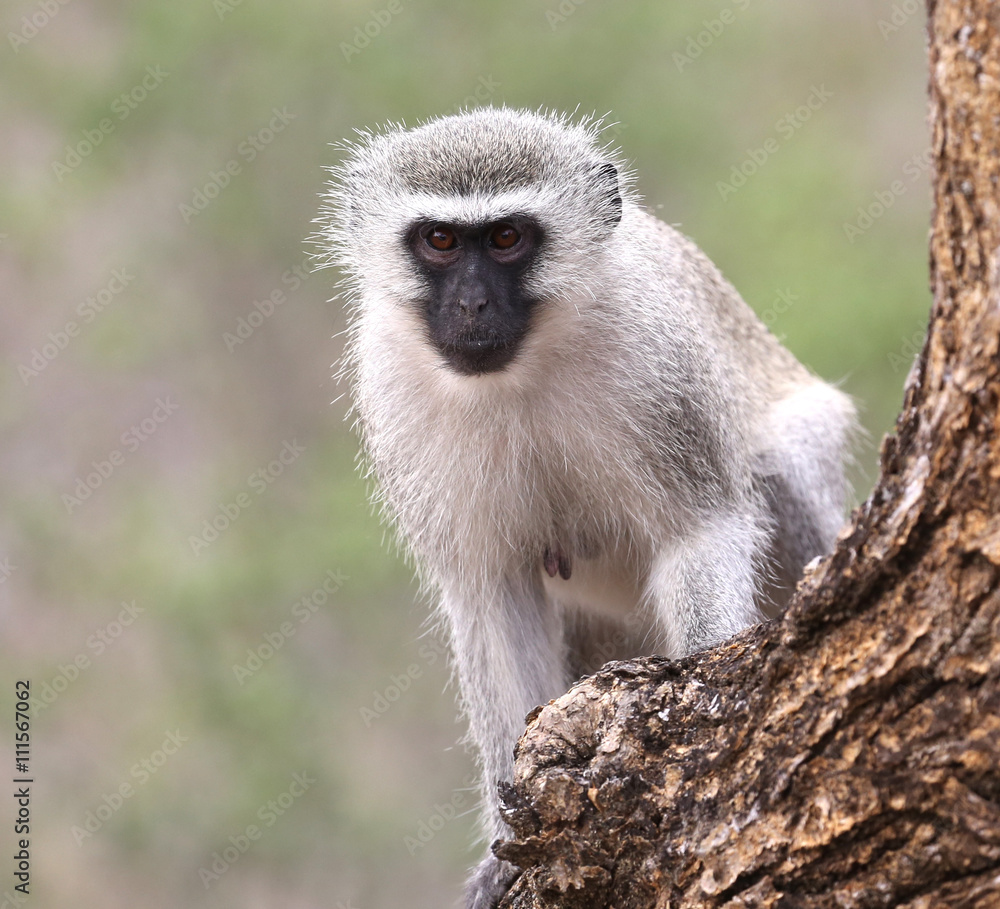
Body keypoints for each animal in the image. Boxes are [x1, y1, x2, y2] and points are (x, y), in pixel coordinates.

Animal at [318, 108, 852, 908]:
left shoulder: (660, 364)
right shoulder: (392, 386)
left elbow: (703, 530)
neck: (521, 370)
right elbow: (492, 593)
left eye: (507, 238)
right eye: (439, 240)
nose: (471, 305)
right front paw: (503, 845)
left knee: (779, 464)